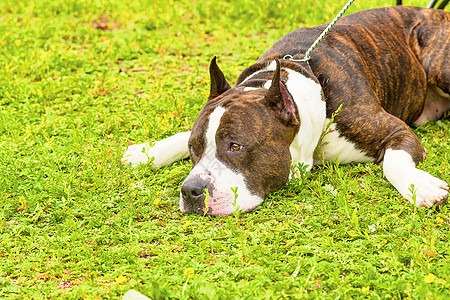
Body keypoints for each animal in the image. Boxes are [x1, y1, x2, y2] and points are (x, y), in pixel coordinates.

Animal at [121, 6, 448, 216]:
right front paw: (147, 151)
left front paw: (420, 186)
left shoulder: (394, 130)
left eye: (236, 146)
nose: (190, 191)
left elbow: (393, 161)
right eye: (194, 148)